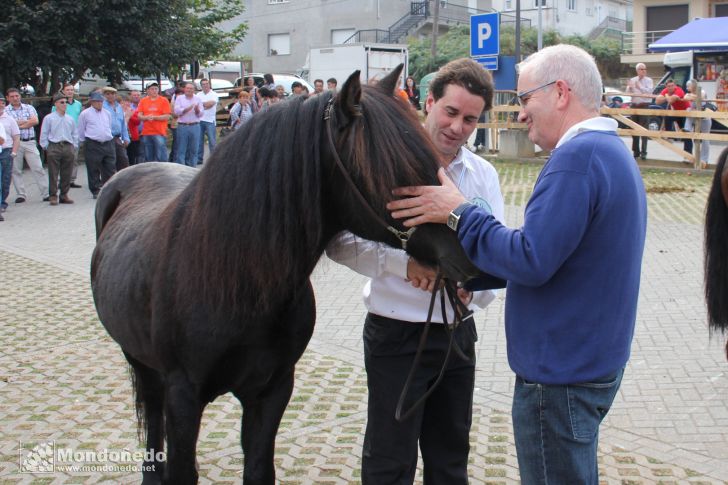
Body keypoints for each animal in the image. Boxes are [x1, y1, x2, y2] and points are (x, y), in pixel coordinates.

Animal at [91, 66, 484, 482]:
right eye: (395, 167)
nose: (466, 254)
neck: (237, 283)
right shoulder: (183, 395)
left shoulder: (273, 389)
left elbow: (259, 468)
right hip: (142, 363)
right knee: (151, 417)